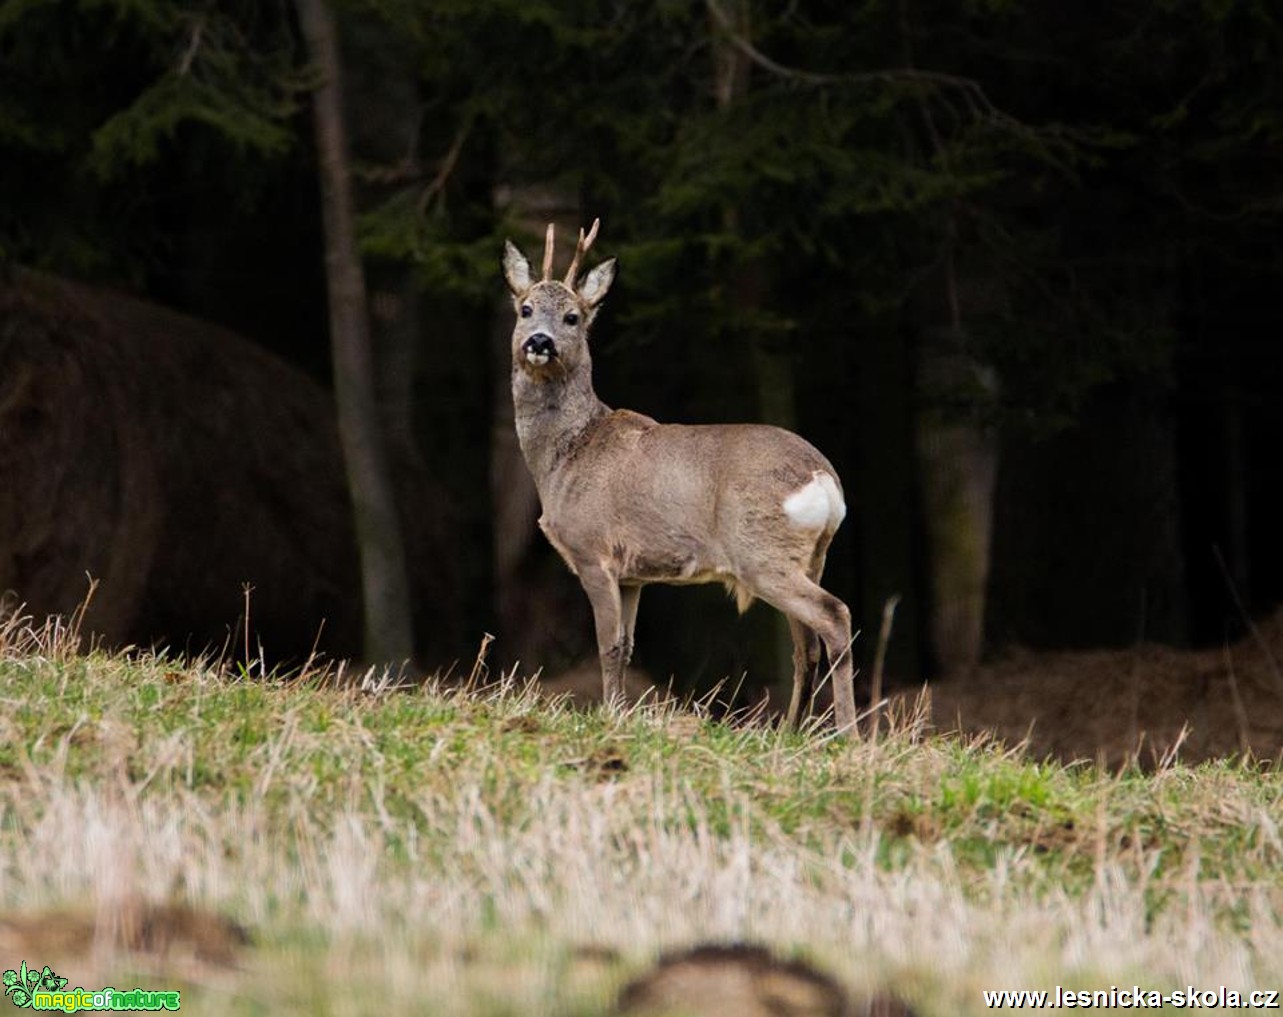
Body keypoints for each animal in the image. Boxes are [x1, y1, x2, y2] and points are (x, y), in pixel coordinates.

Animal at [505, 220, 857, 728]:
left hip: (760, 552)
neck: (564, 458)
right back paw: (792, 731)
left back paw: (849, 733)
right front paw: (622, 713)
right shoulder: (633, 574)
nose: (539, 342)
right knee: (805, 645)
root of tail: (825, 479)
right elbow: (627, 646)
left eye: (573, 317)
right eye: (526, 308)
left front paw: (609, 716)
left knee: (834, 615)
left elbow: (607, 646)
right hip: (810, 556)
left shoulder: (592, 550)